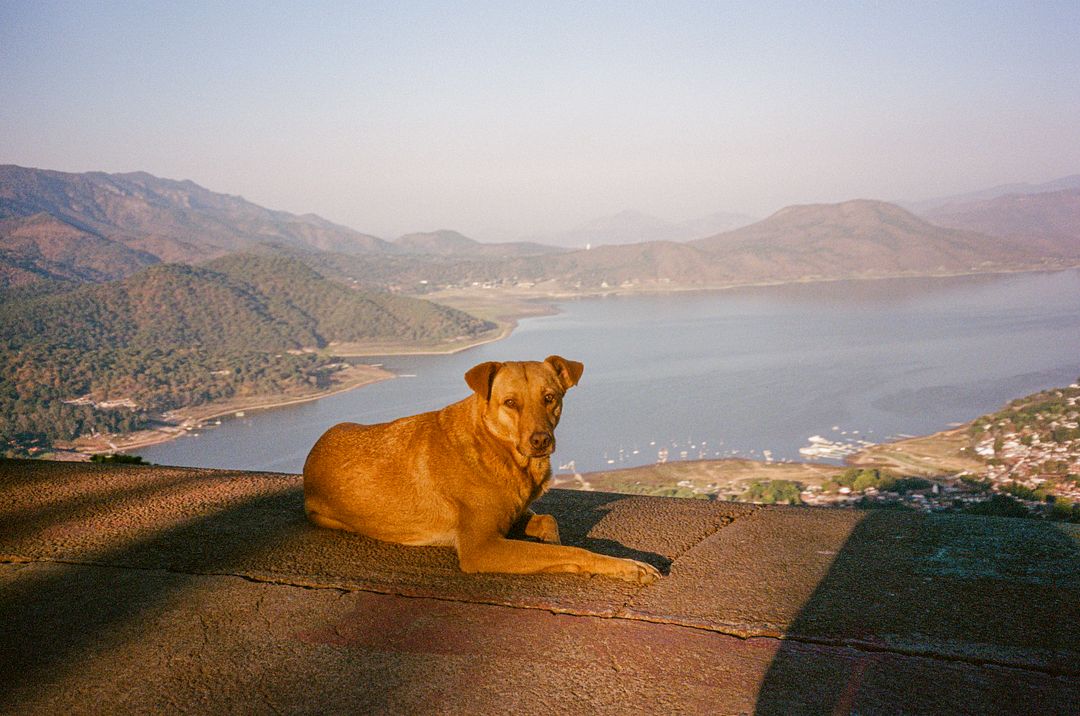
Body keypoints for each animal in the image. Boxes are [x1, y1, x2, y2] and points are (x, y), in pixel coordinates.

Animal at [302, 356, 656, 587]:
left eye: (550, 398)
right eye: (510, 403)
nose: (541, 440)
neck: (494, 448)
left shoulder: (512, 516)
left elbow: (548, 520)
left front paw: (549, 538)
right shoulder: (481, 548)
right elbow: (574, 550)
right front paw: (627, 566)